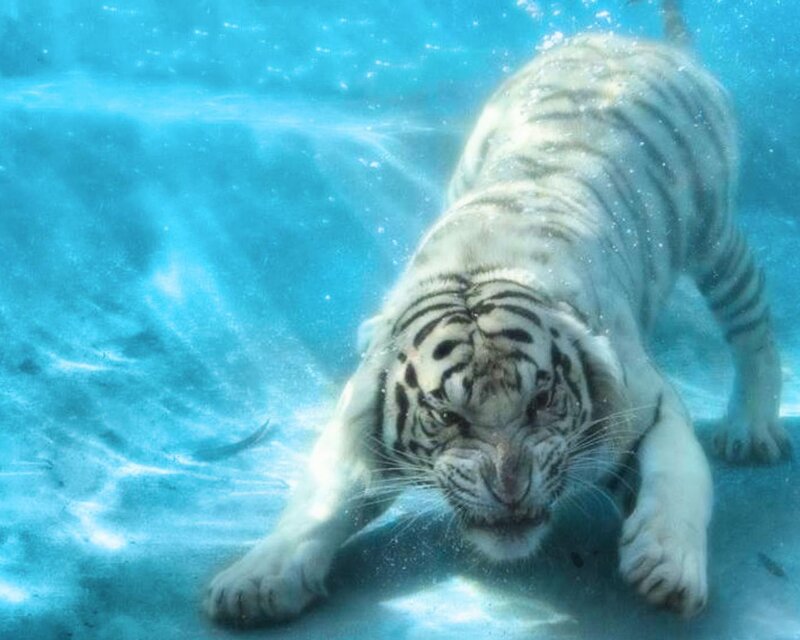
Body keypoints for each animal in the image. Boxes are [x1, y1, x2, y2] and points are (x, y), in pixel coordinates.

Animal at [205, 0, 789, 625]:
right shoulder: (356, 421)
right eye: (447, 416)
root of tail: (644, 45)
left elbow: (677, 479)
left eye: (541, 401)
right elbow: (316, 503)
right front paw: (257, 580)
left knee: (752, 323)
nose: (511, 487)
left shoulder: (648, 404)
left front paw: (667, 566)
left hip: (715, 234)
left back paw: (753, 430)